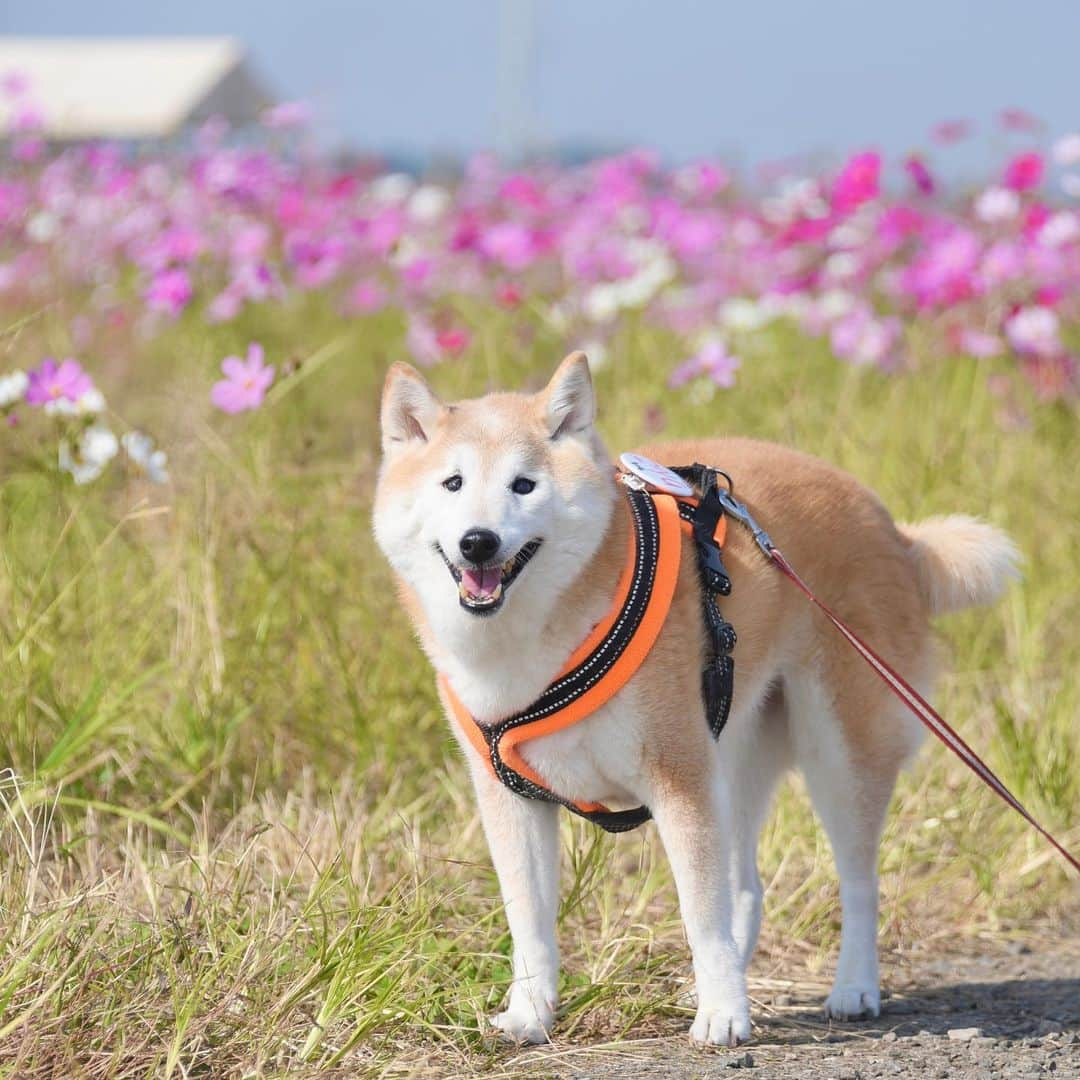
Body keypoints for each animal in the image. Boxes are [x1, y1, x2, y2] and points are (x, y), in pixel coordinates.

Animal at [371, 354, 1010, 1045]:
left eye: (524, 485)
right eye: (453, 483)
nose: (479, 542)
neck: (533, 645)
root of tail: (893, 529)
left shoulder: (678, 778)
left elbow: (700, 913)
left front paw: (724, 1014)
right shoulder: (512, 798)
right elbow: (531, 925)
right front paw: (529, 1013)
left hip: (837, 753)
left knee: (859, 880)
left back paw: (852, 987)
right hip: (730, 757)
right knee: (747, 888)